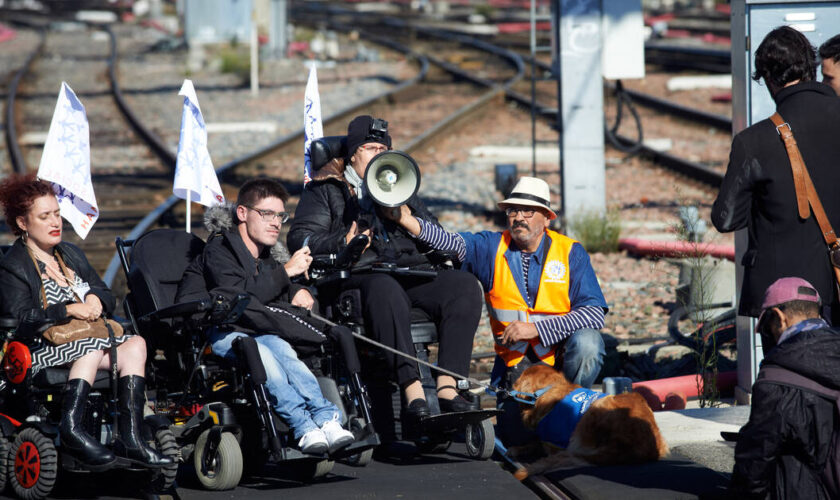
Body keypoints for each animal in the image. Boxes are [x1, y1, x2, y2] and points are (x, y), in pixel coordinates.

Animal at [508, 366, 668, 478]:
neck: (548, 390)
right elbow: (534, 443)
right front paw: (517, 449)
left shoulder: (557, 440)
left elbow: (542, 446)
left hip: (599, 406)